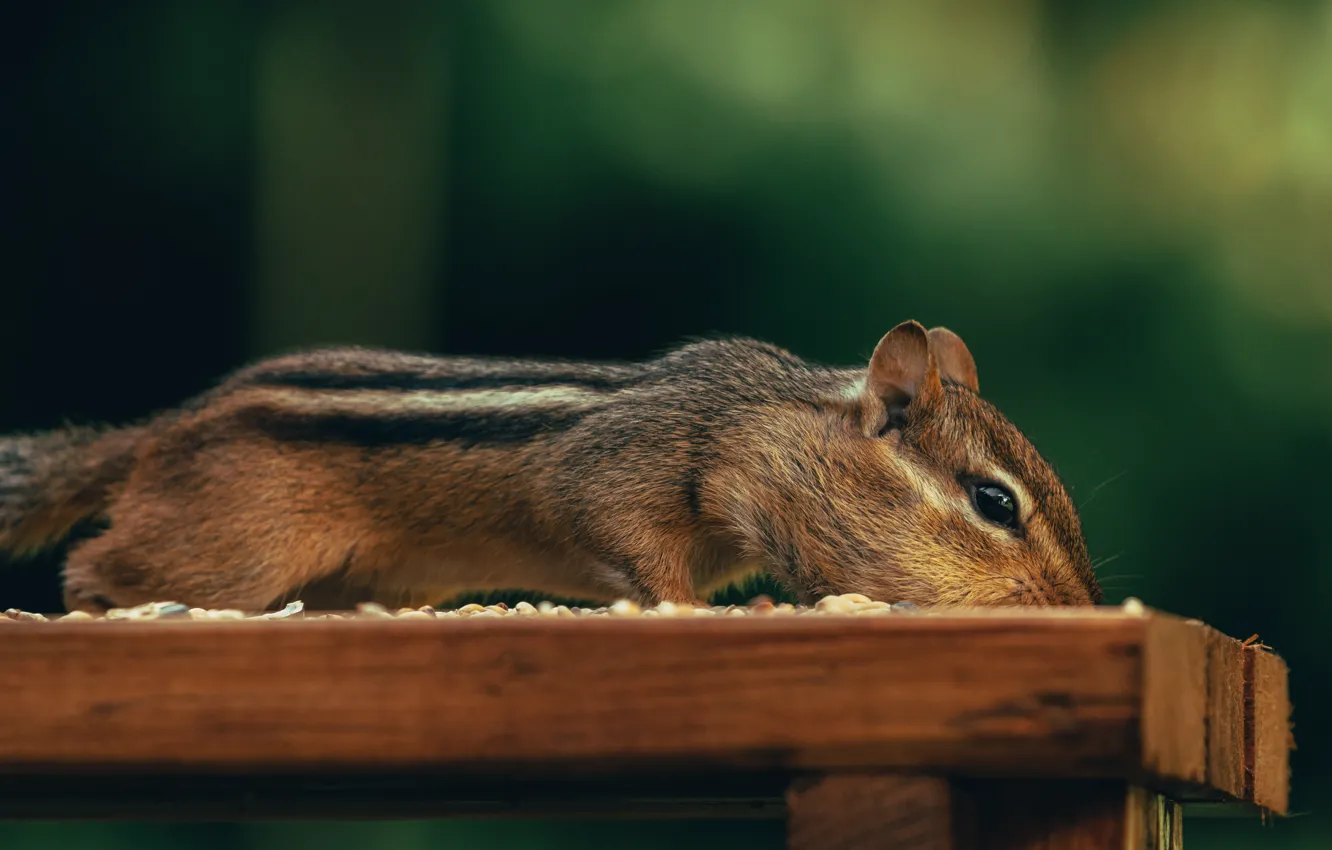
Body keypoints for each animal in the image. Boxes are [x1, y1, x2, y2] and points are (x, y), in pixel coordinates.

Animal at [0, 320, 1101, 613]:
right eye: (994, 502)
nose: (1078, 605)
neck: (759, 423)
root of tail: (162, 427)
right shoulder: (617, 476)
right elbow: (617, 538)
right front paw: (699, 610)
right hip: (225, 550)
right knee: (98, 570)